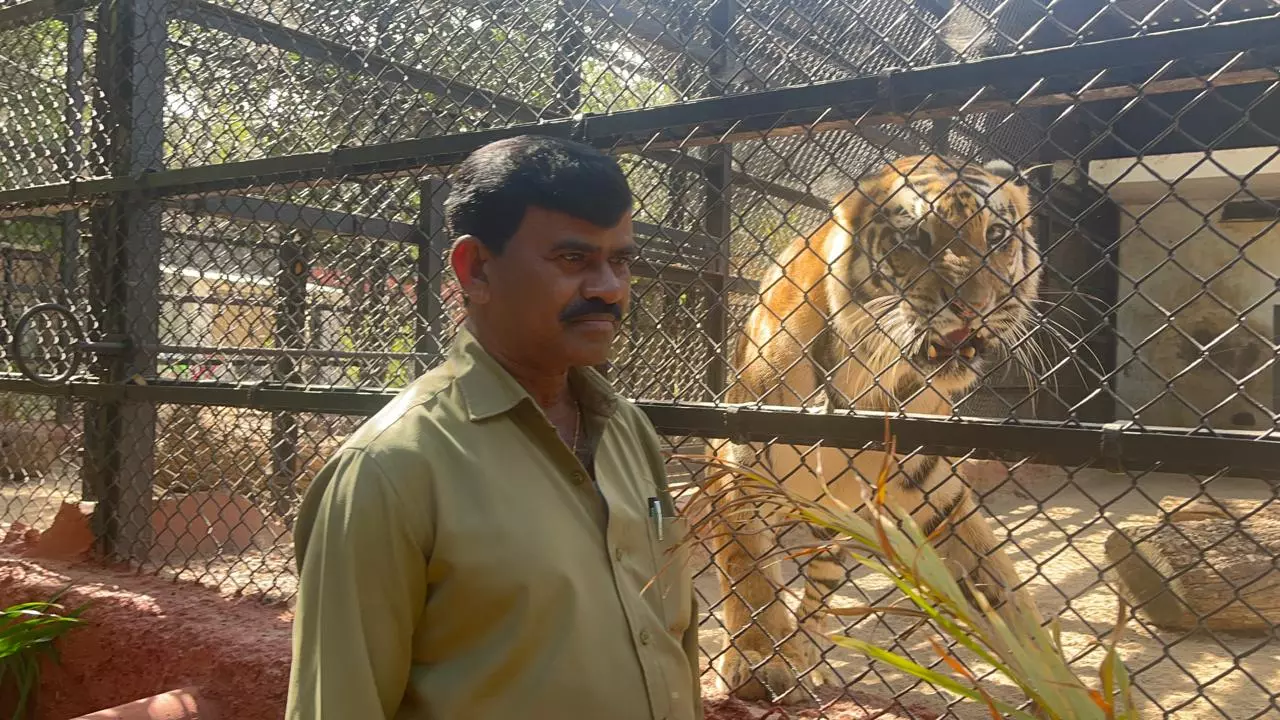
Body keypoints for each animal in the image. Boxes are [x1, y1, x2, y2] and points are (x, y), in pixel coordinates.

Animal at [701, 152, 1049, 702]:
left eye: (996, 235)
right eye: (917, 239)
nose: (973, 306)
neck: (871, 387)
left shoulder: (938, 502)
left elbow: (1009, 601)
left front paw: (1068, 687)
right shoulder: (735, 467)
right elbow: (749, 577)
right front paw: (757, 662)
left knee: (817, 600)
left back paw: (810, 659)